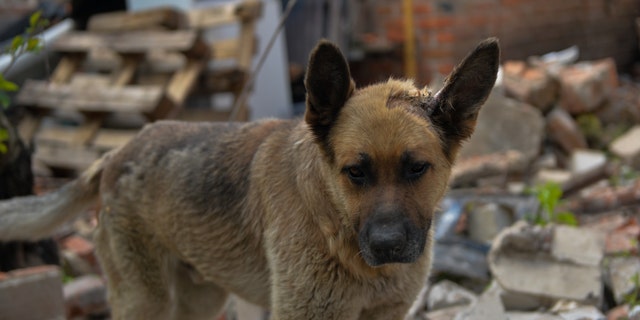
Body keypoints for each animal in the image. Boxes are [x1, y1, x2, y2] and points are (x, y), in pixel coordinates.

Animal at [0, 37, 500, 318]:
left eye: (417, 168)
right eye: (354, 172)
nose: (388, 247)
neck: (332, 221)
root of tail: (113, 156)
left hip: (199, 300)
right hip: (145, 300)